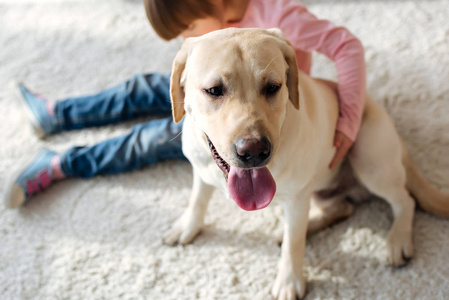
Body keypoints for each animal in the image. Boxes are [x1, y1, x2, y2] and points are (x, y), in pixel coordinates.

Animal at [163, 27, 446, 298]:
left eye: (273, 87)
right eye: (214, 90)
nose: (254, 151)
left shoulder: (298, 198)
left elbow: (294, 243)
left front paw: (289, 281)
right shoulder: (201, 170)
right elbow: (197, 200)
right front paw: (187, 226)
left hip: (369, 160)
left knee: (405, 201)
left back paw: (398, 239)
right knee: (342, 208)